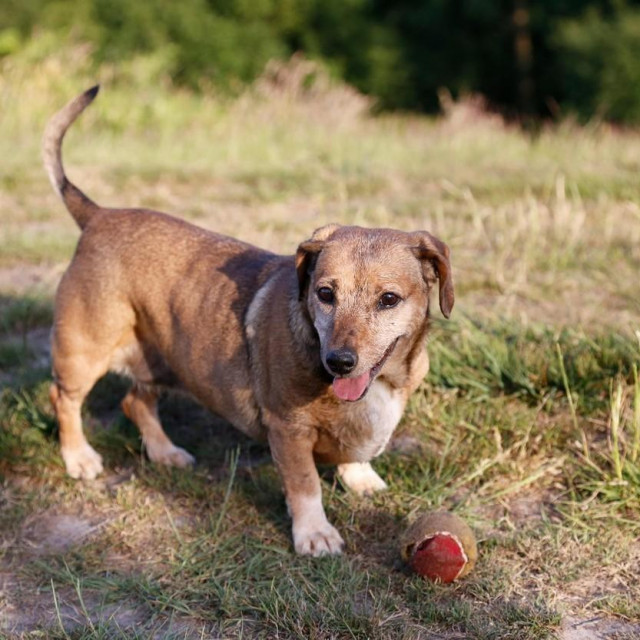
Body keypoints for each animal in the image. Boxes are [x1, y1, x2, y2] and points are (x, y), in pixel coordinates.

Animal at [42, 86, 452, 556]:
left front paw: (360, 478)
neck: (383, 380)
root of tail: (99, 215)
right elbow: (305, 485)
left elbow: (355, 454)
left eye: (388, 299)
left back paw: (165, 453)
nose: (339, 362)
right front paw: (314, 533)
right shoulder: (288, 430)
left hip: (161, 355)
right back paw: (79, 458)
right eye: (324, 294)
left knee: (135, 400)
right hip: (84, 352)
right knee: (63, 398)